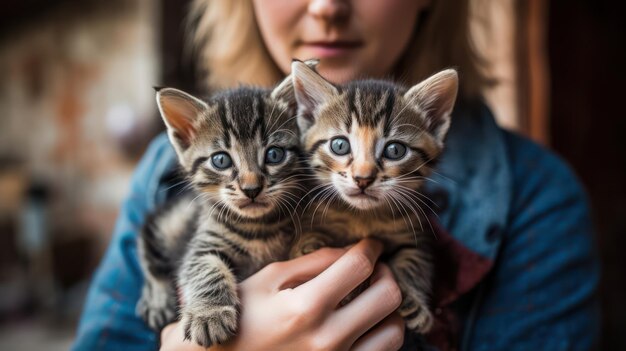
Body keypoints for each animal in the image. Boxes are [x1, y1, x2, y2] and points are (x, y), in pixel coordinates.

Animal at [139, 73, 310, 346]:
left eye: (274, 154)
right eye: (221, 160)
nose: (251, 188)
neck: (258, 227)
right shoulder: (203, 243)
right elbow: (204, 269)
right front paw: (209, 315)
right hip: (173, 222)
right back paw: (156, 299)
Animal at [288, 61, 458, 336]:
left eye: (395, 150)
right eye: (339, 145)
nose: (363, 178)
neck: (362, 215)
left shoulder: (414, 232)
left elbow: (414, 261)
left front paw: (414, 301)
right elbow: (306, 242)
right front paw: (311, 248)